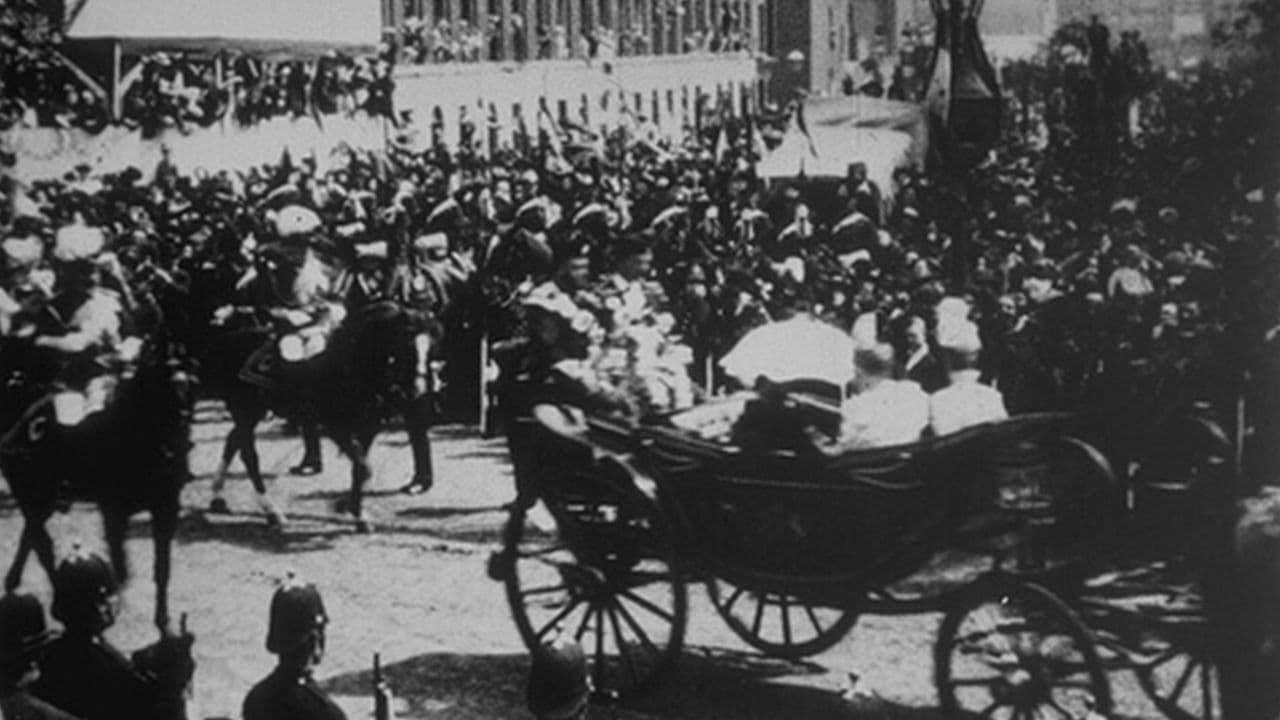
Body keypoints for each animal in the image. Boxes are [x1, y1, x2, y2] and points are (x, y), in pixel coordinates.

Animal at [0, 333, 194, 625]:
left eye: (190, 381)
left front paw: (162, 617)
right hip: (33, 496)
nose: (182, 432)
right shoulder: (114, 511)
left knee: (32, 537)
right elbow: (121, 568)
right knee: (41, 544)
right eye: (163, 384)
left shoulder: (166, 509)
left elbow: (162, 568)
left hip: (42, 502)